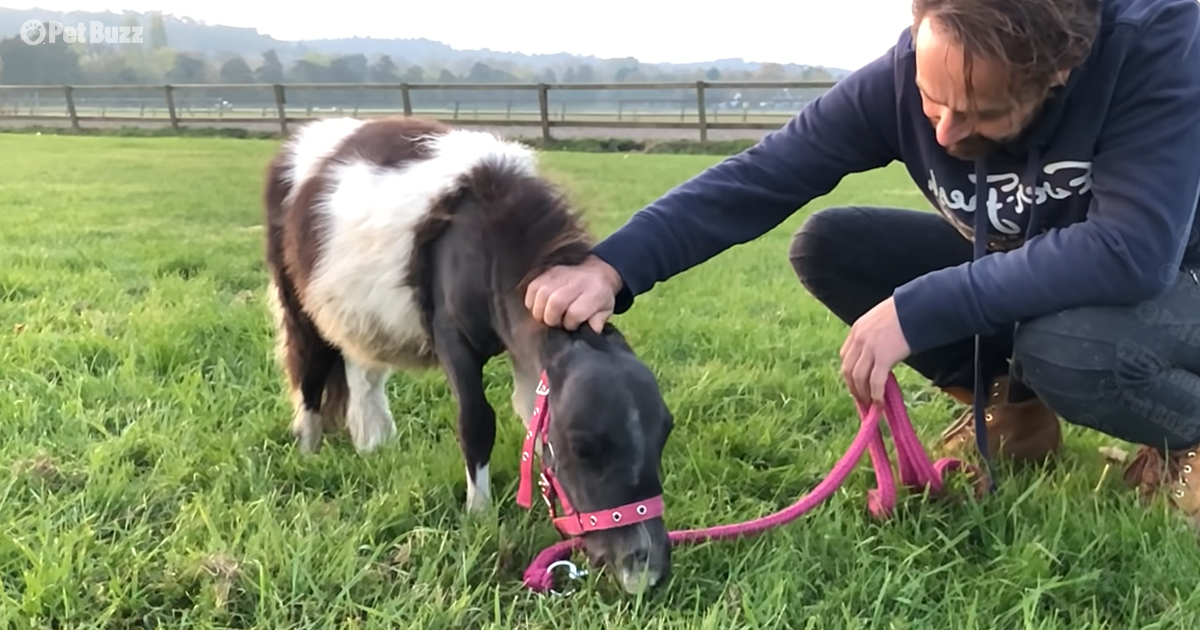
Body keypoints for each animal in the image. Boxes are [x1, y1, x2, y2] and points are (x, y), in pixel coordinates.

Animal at [261, 115, 675, 594]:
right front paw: (480, 514)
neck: (489, 244)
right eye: (582, 447)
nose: (646, 569)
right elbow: (476, 421)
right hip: (299, 305)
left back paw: (374, 445)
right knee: (310, 373)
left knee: (361, 373)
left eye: (665, 432)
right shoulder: (453, 339)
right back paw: (309, 452)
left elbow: (527, 414)